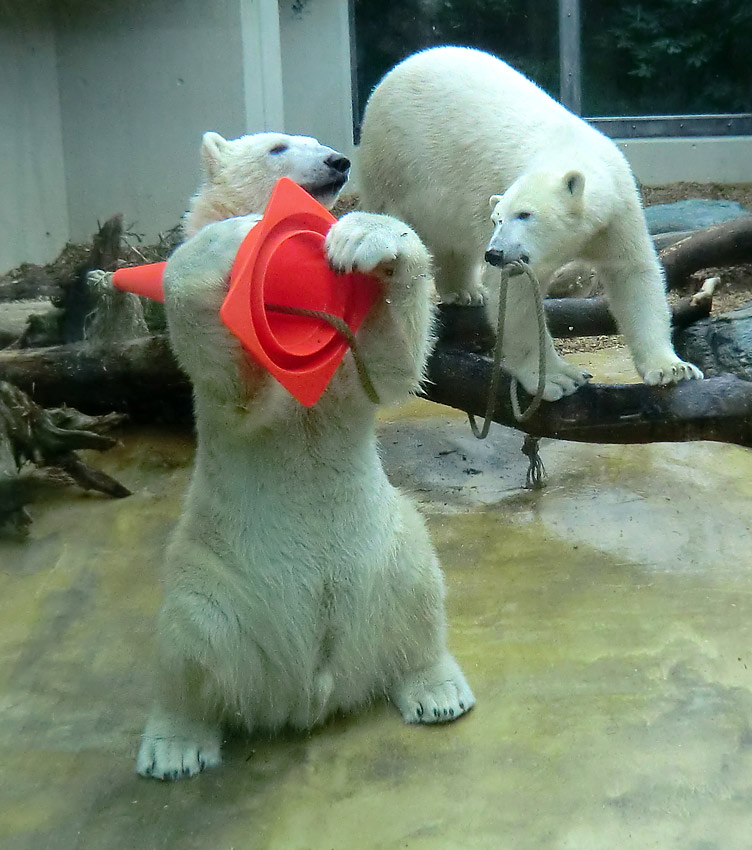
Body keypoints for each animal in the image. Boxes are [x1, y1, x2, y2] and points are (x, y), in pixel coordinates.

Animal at [356, 46, 704, 400]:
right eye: (497, 218)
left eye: (524, 214)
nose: (494, 253)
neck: (571, 151)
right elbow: (517, 298)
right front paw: (558, 378)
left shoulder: (618, 213)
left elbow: (633, 274)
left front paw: (672, 368)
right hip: (394, 167)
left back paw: (466, 291)